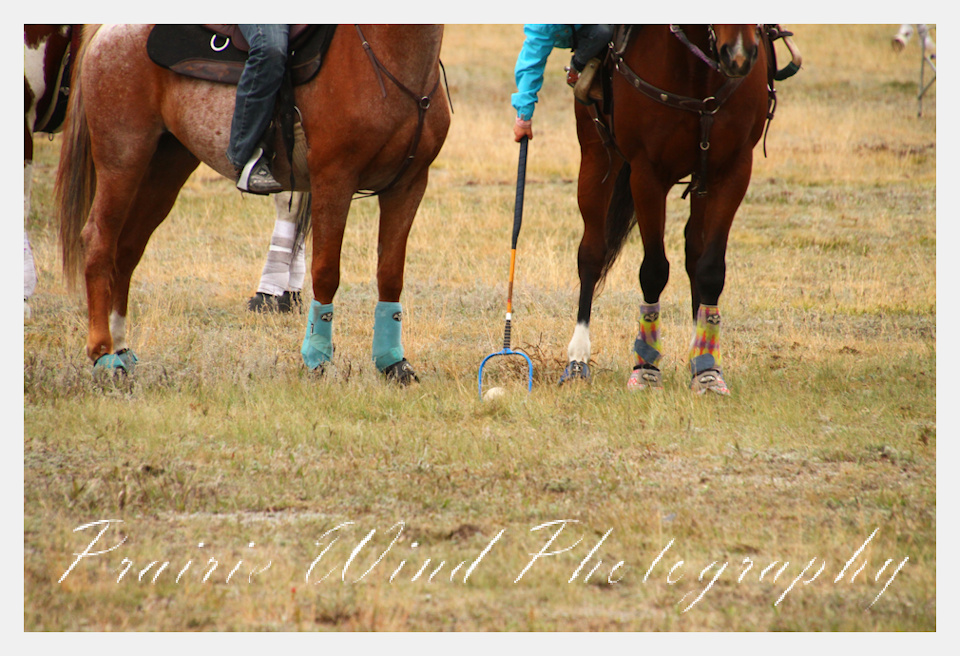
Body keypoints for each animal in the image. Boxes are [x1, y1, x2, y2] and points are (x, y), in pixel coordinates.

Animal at [56, 24, 450, 383]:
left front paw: (393, 362)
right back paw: (103, 355)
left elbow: (390, 274)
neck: (387, 55)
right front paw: (317, 358)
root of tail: (107, 32)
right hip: (123, 159)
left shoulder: (409, 185)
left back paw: (122, 348)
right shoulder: (334, 180)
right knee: (99, 241)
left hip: (166, 166)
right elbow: (326, 272)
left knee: (127, 250)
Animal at [560, 25, 785, 394]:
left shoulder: (733, 169)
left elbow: (710, 268)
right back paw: (578, 357)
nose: (739, 55)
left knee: (694, 253)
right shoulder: (647, 174)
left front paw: (707, 368)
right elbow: (653, 270)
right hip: (595, 154)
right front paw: (645, 368)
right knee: (591, 253)